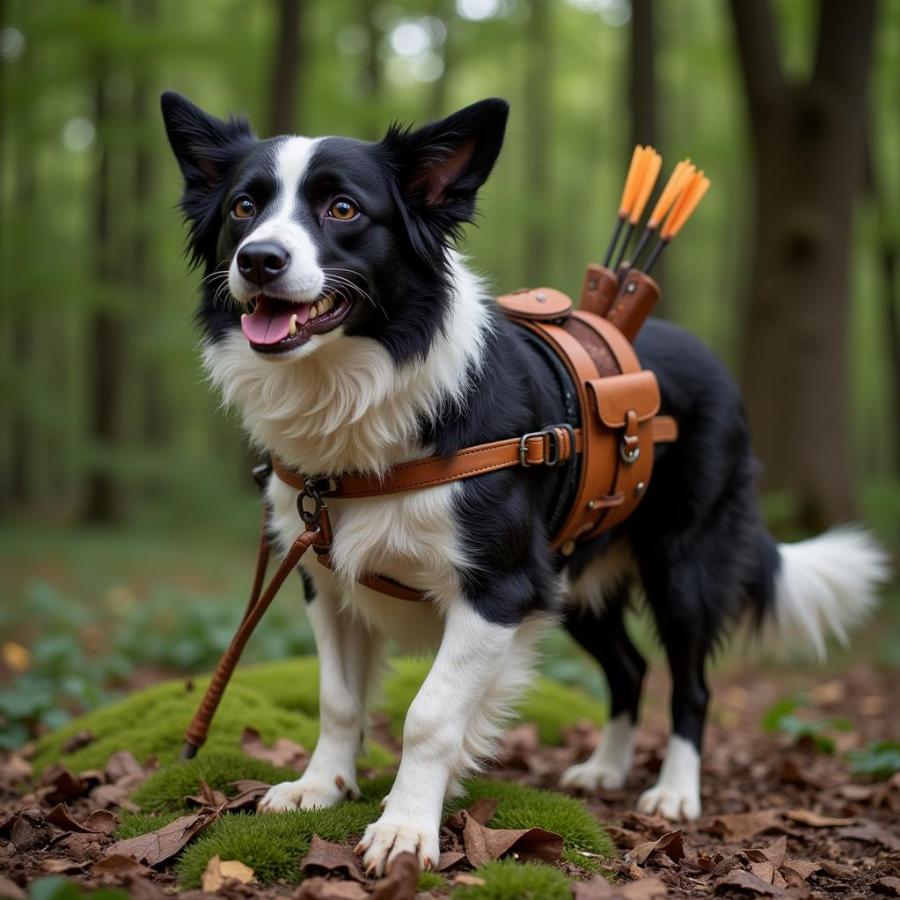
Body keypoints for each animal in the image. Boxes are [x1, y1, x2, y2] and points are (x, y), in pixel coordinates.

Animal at [160, 89, 884, 872]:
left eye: (343, 209)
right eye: (243, 207)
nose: (258, 259)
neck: (368, 394)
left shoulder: (499, 588)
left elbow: (430, 715)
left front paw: (406, 826)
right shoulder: (327, 579)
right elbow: (339, 699)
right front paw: (321, 786)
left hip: (680, 567)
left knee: (690, 685)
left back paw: (673, 792)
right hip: (573, 577)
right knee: (630, 668)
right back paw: (604, 769)